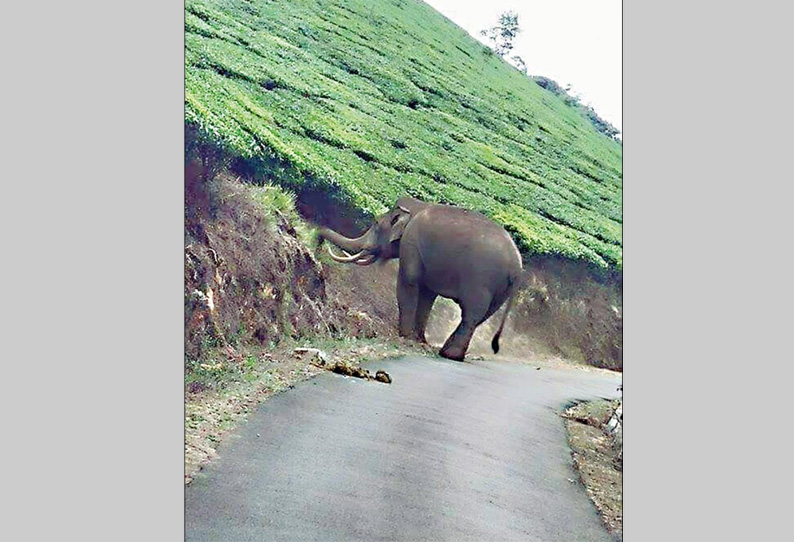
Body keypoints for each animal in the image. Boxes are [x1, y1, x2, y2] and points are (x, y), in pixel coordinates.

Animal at [318, 197, 524, 362]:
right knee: (483, 316)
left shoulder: (411, 244)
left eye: (375, 223)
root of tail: (517, 268)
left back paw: (450, 355)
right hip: (501, 290)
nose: (318, 239)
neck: (415, 206)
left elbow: (408, 282)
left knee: (471, 315)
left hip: (482, 279)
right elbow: (427, 295)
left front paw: (404, 336)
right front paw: (418, 339)